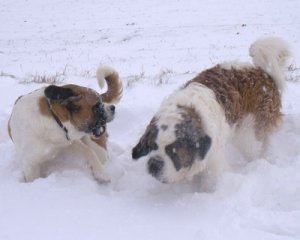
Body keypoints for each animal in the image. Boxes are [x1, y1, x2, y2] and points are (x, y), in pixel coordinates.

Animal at [132, 37, 292, 184]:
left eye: (173, 150)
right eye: (152, 146)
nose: (154, 164)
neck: (190, 112)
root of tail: (264, 74)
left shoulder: (213, 158)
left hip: (249, 133)